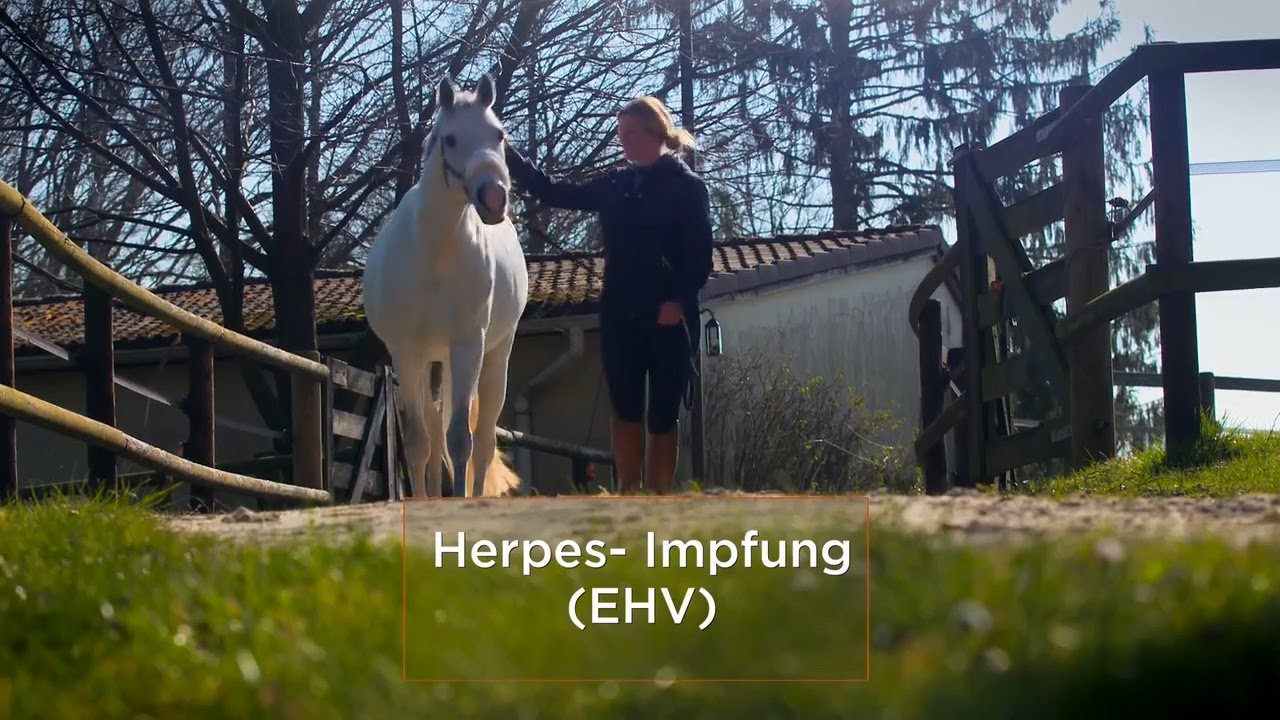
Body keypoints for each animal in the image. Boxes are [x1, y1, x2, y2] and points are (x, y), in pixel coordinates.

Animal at [361, 73, 527, 499]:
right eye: (450, 139)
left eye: (499, 135)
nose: (494, 198)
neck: (435, 253)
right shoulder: (406, 352)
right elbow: (419, 443)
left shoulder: (468, 345)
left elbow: (460, 440)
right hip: (432, 361)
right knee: (434, 434)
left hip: (489, 357)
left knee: (480, 440)